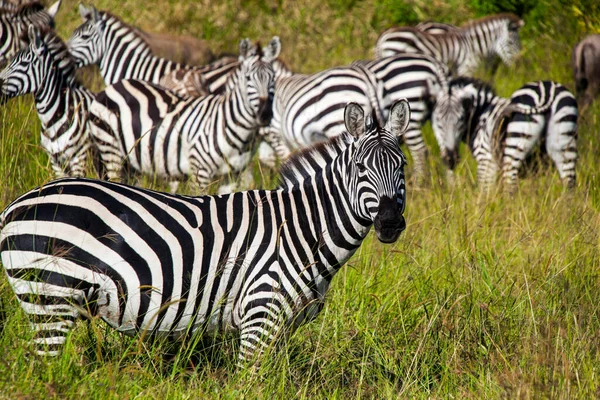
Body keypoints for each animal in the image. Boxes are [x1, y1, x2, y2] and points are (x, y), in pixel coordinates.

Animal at [0, 100, 412, 366]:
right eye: (360, 168)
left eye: (402, 166)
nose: (390, 222)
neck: (302, 230)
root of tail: (16, 204)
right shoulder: (260, 313)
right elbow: (250, 382)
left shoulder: (282, 325)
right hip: (50, 297)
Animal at [89, 37, 282, 192]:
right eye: (248, 78)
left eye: (273, 78)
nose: (265, 114)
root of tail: (114, 86)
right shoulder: (200, 171)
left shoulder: (231, 176)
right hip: (110, 147)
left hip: (133, 163)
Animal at [432, 79, 576, 191]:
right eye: (437, 123)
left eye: (461, 119)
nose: (450, 159)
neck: (481, 112)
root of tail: (546, 92)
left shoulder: (486, 159)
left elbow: (485, 192)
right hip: (565, 141)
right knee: (569, 184)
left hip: (516, 143)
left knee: (510, 186)